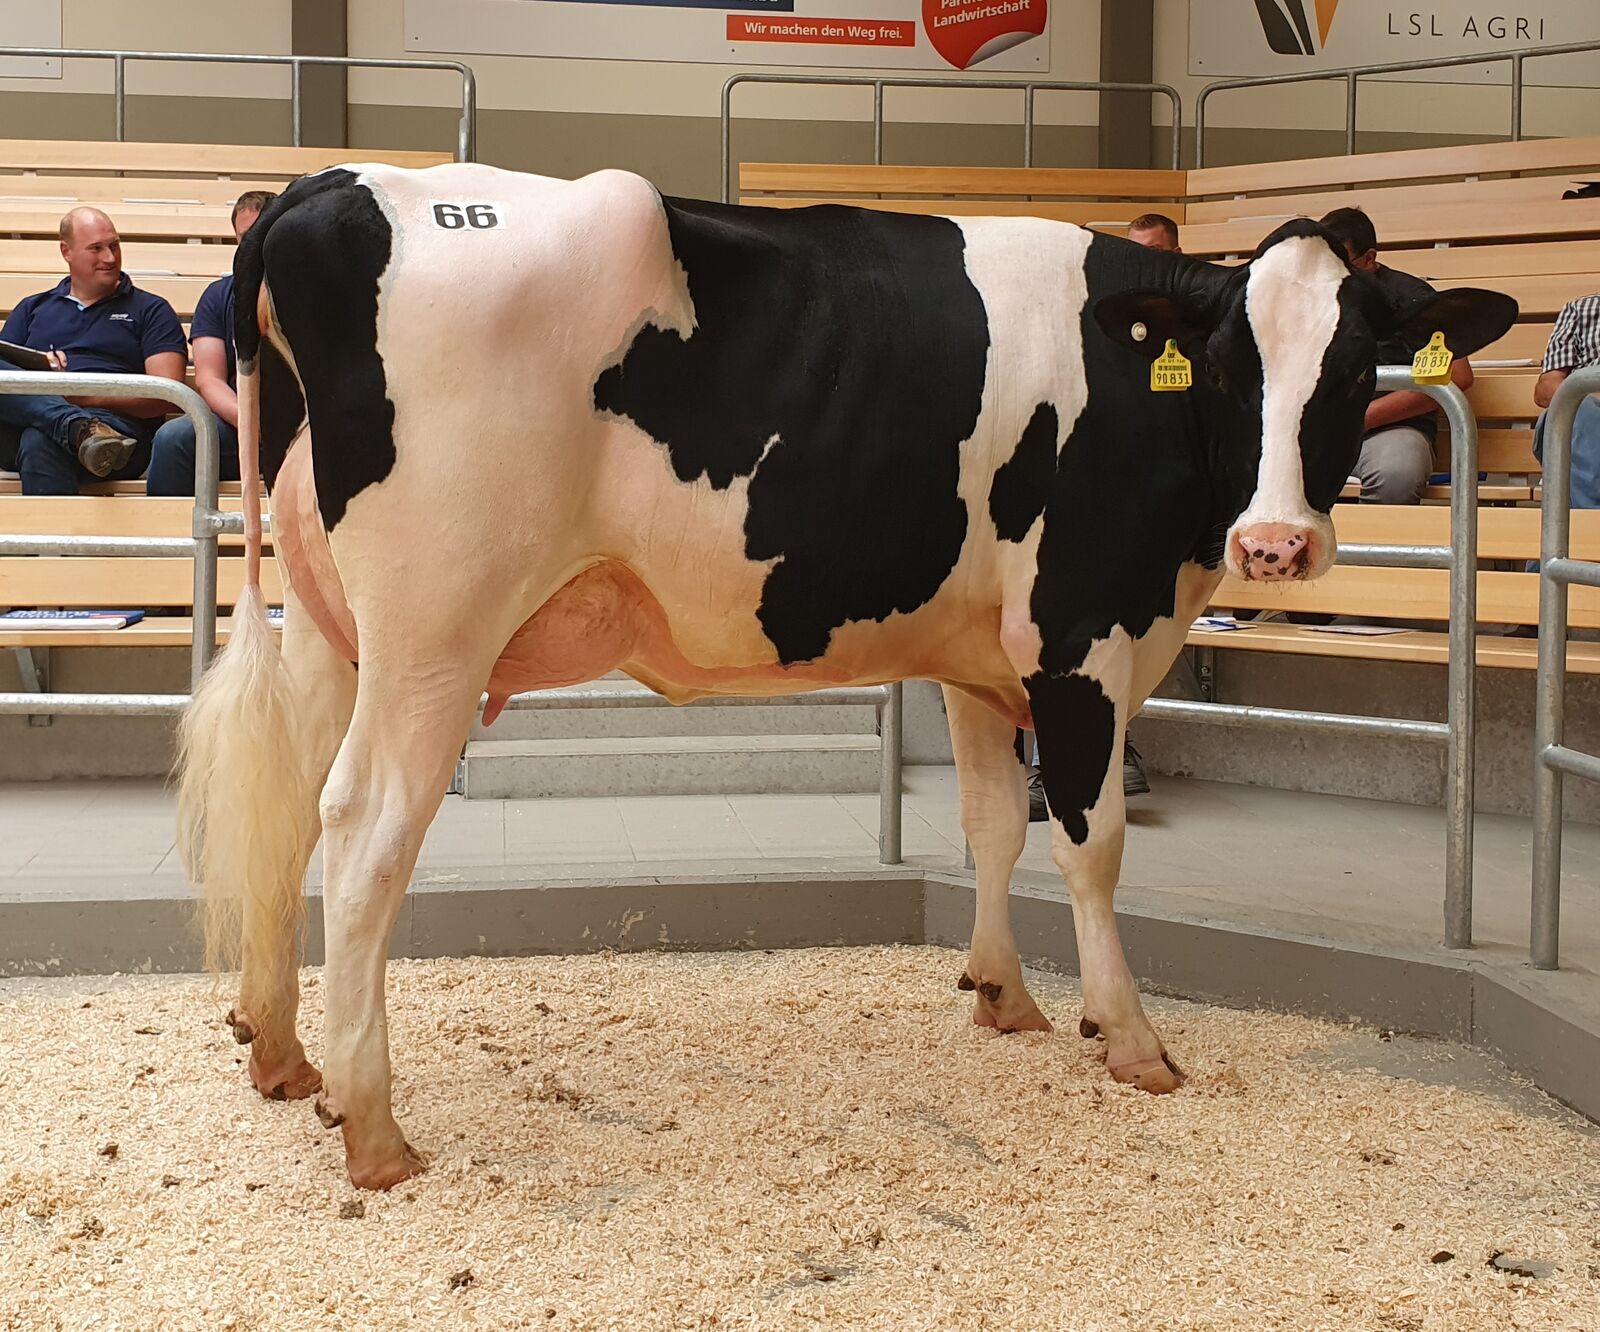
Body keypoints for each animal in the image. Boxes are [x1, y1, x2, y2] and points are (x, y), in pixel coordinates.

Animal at [175, 161, 1510, 1191]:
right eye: (1231, 366)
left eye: (1358, 366)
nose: (1275, 543)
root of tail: (332, 186)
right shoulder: (1081, 639)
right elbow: (1091, 842)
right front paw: (1128, 1035)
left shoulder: (981, 661)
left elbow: (989, 824)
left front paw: (1002, 994)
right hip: (437, 633)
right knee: (364, 827)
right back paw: (373, 1125)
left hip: (334, 626)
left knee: (289, 802)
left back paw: (282, 1053)